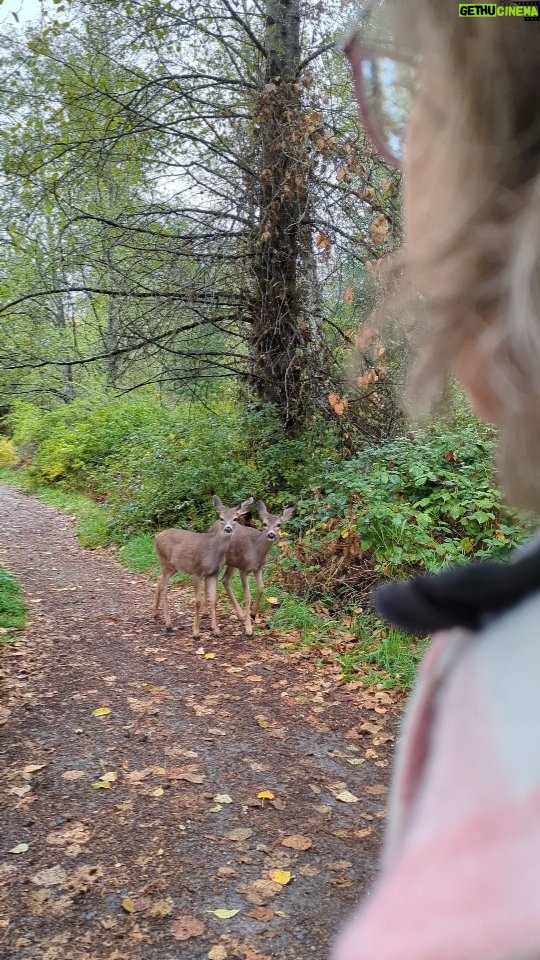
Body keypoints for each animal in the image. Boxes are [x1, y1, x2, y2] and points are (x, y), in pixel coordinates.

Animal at [153, 495, 254, 638]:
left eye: (235, 518)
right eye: (221, 518)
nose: (228, 528)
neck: (212, 551)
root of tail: (156, 537)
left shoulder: (213, 573)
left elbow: (214, 599)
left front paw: (216, 630)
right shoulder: (196, 571)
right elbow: (198, 601)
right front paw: (196, 632)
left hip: (173, 567)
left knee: (159, 579)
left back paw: (155, 613)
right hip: (165, 562)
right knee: (164, 587)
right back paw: (168, 624)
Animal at [204, 500, 295, 638]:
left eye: (278, 524)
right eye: (264, 523)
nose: (271, 534)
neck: (256, 550)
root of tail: (212, 526)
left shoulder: (258, 568)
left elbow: (261, 587)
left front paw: (253, 613)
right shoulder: (244, 568)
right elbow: (247, 597)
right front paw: (248, 629)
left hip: (232, 562)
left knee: (225, 580)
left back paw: (240, 614)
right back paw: (206, 612)